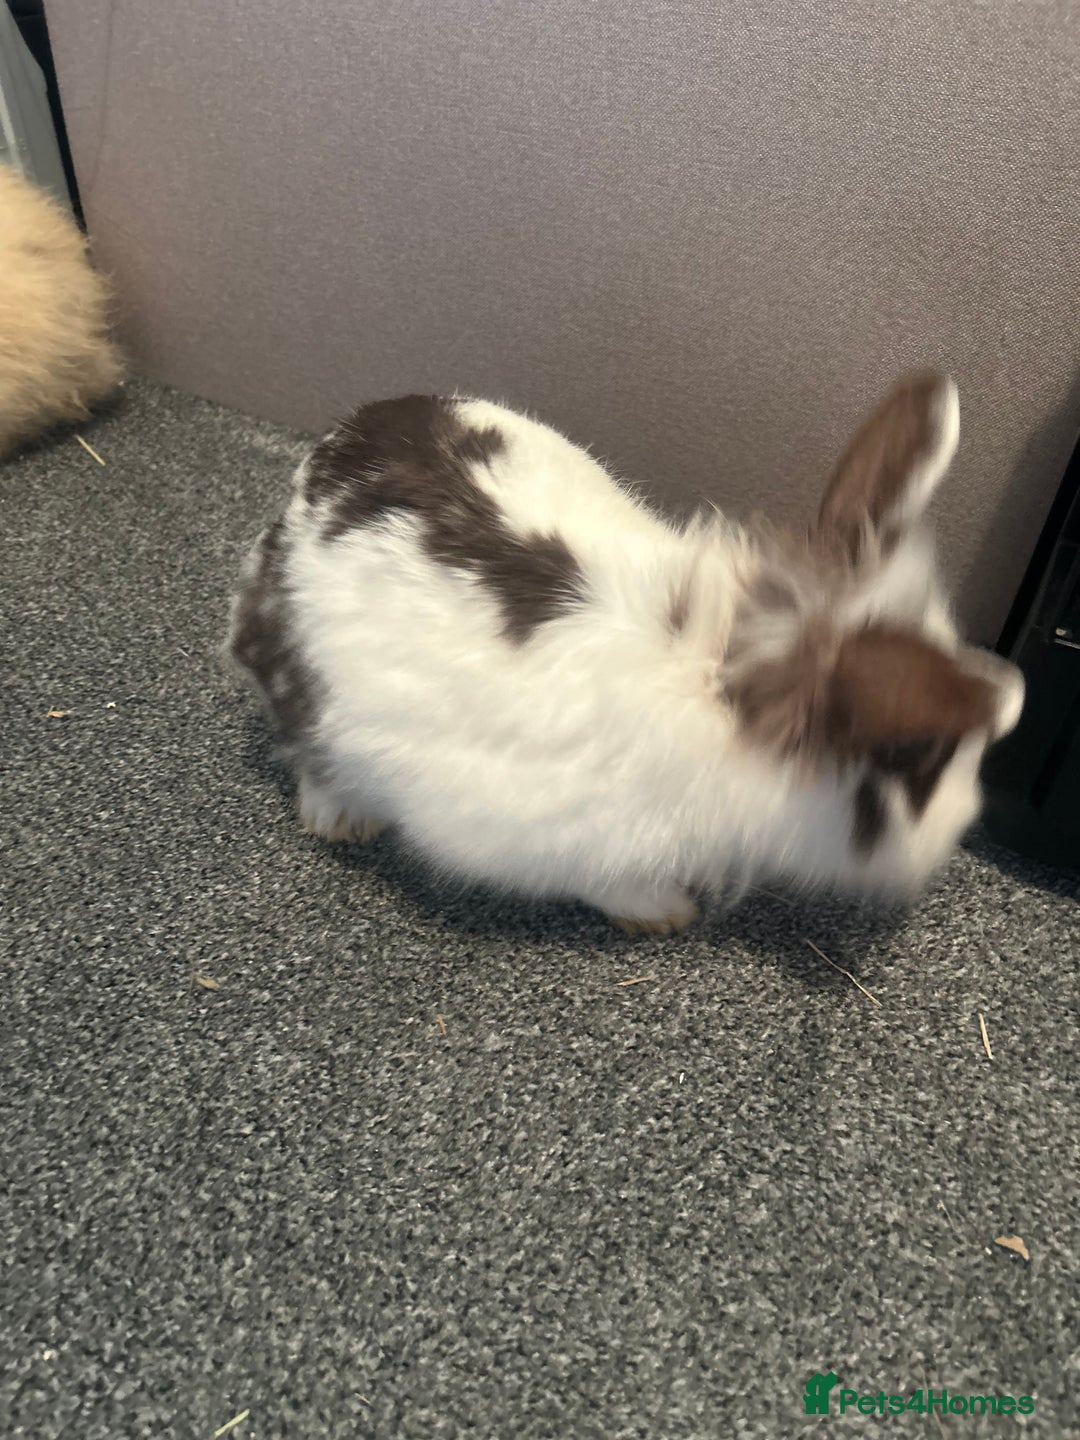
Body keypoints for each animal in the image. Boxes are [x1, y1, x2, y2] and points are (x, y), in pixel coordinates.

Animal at [227, 372, 1023, 932]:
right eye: (919, 758)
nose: (967, 818)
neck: (730, 684)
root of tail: (320, 464)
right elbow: (609, 884)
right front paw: (667, 913)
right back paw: (341, 817)